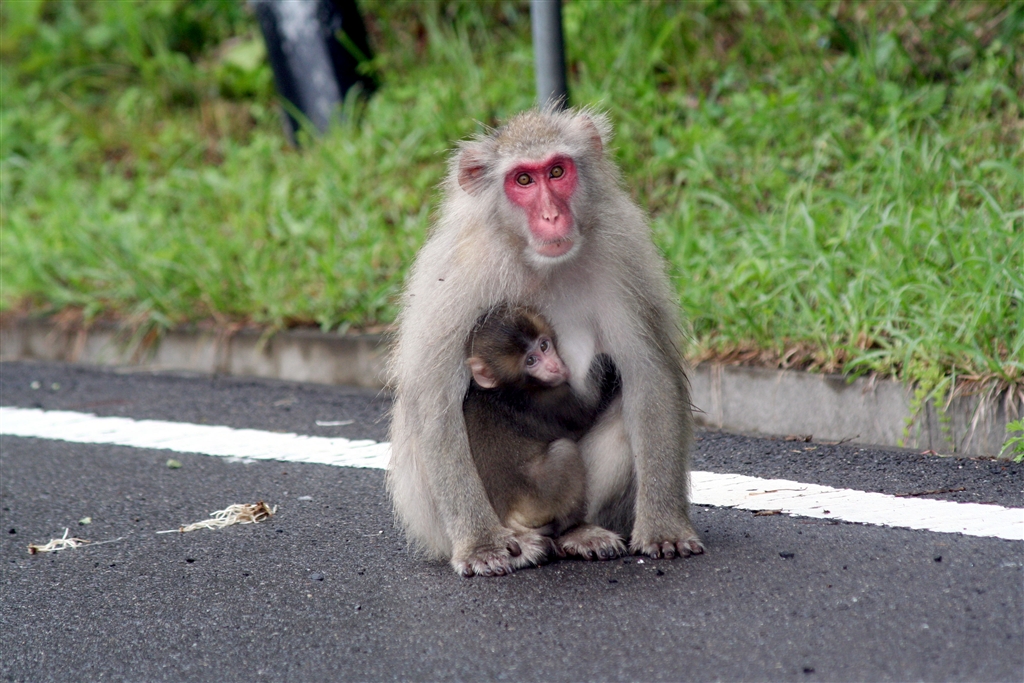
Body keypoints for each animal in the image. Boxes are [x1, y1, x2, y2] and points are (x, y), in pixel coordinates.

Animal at [462, 303, 626, 560]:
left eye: (544, 345)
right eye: (531, 361)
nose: (554, 366)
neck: (504, 389)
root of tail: (506, 512)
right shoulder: (549, 401)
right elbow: (586, 411)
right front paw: (606, 361)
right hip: (539, 500)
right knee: (564, 451)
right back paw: (570, 527)